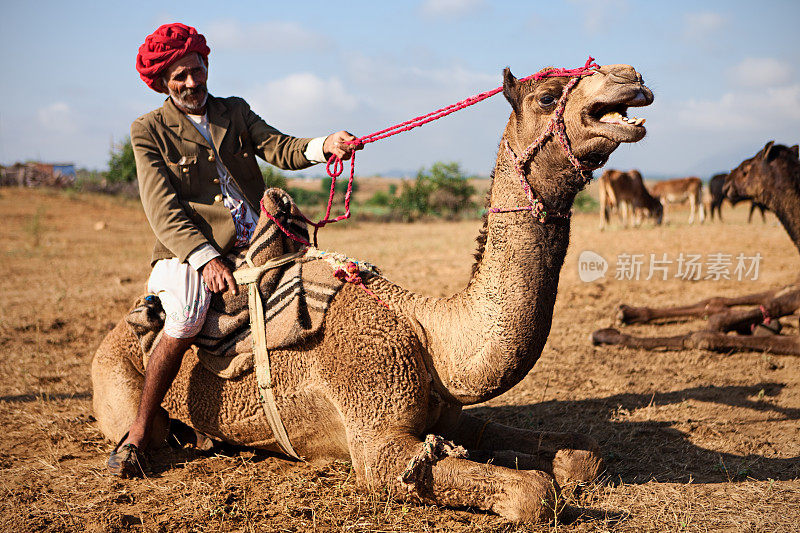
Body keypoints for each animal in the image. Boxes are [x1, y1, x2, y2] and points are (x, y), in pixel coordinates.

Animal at [94, 61, 652, 520]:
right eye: (547, 95)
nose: (630, 77)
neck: (430, 335)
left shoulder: (452, 419)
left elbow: (582, 458)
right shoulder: (377, 436)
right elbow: (535, 492)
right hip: (119, 375)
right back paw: (141, 449)